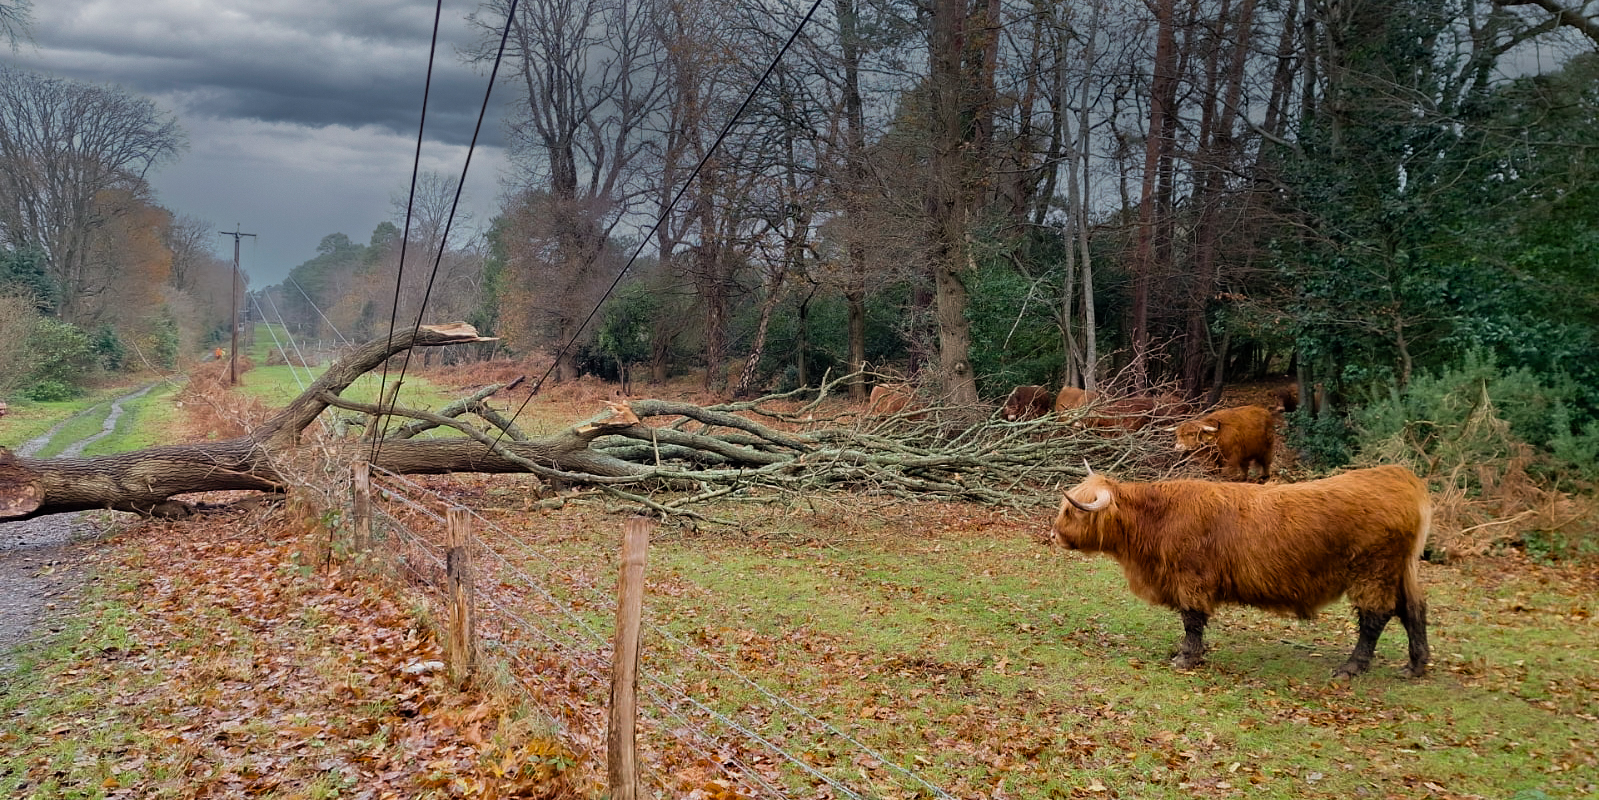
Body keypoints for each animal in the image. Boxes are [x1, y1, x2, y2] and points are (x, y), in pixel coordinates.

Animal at [1055, 467, 1432, 678]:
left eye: (1072, 511)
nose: (1053, 533)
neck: (1156, 519)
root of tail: (1398, 476)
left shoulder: (1191, 579)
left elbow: (1192, 620)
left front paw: (1186, 658)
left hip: (1373, 571)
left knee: (1375, 617)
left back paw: (1352, 667)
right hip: (1398, 571)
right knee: (1412, 610)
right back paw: (1415, 665)